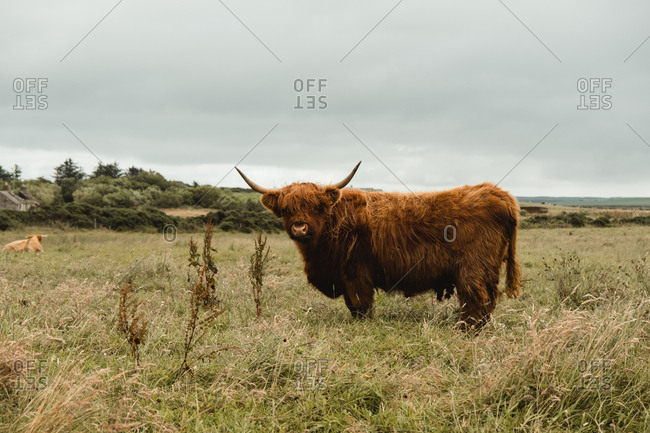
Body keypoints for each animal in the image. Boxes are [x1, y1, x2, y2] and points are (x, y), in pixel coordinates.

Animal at [236, 162, 521, 328]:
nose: (299, 227)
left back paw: (465, 329)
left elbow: (360, 305)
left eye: (316, 206)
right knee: (487, 301)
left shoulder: (356, 274)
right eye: (286, 209)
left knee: (476, 299)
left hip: (472, 269)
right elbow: (354, 305)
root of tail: (500, 195)